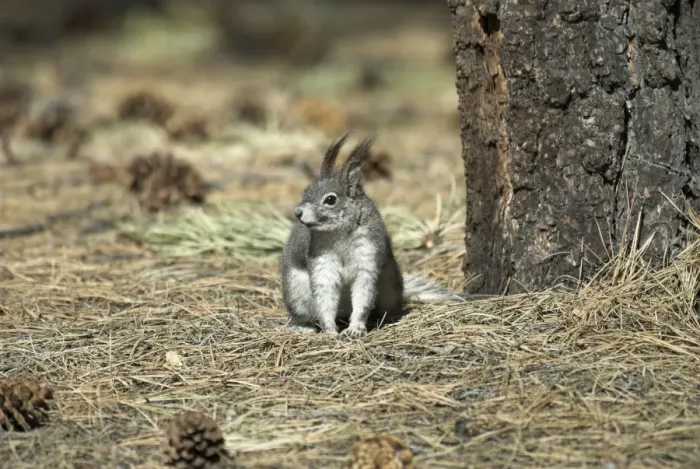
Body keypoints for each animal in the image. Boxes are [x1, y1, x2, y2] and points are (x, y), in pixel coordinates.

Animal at [279, 133, 478, 338]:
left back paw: (390, 317)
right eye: (305, 191)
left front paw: (356, 328)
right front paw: (330, 331)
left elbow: (363, 295)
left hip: (390, 284)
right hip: (296, 290)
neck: (339, 233)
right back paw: (303, 326)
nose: (297, 213)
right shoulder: (322, 261)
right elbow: (325, 294)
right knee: (304, 312)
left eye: (330, 199)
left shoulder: (367, 255)